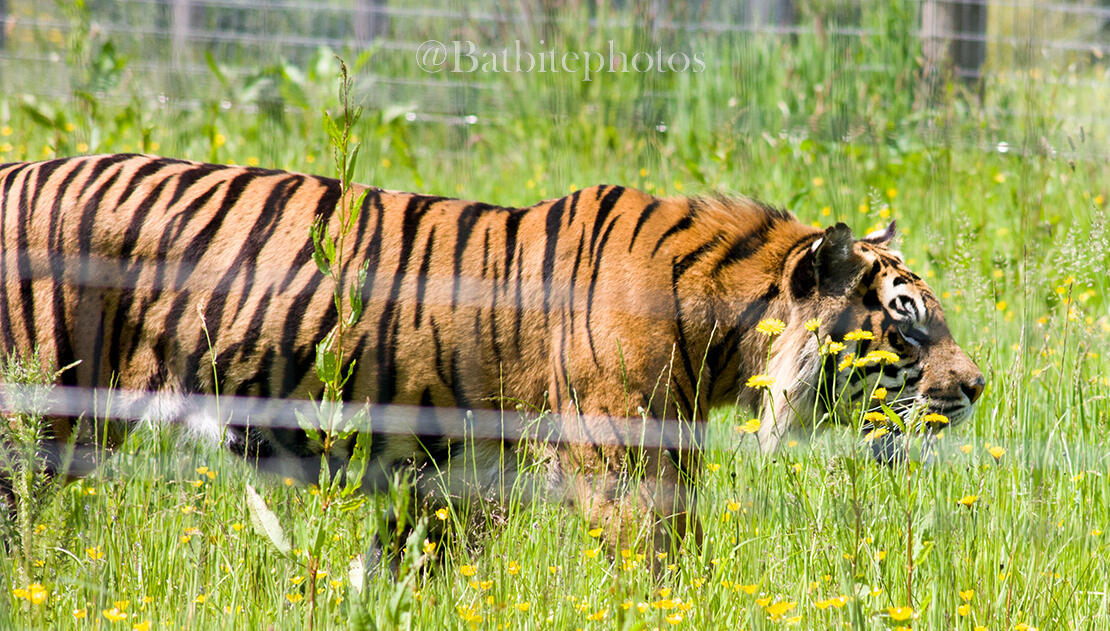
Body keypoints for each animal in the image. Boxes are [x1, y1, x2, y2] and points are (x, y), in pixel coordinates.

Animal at [0, 154, 984, 556]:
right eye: (906, 324)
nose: (979, 386)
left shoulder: (466, 476)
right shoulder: (622, 465)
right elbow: (668, 572)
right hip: (40, 419)